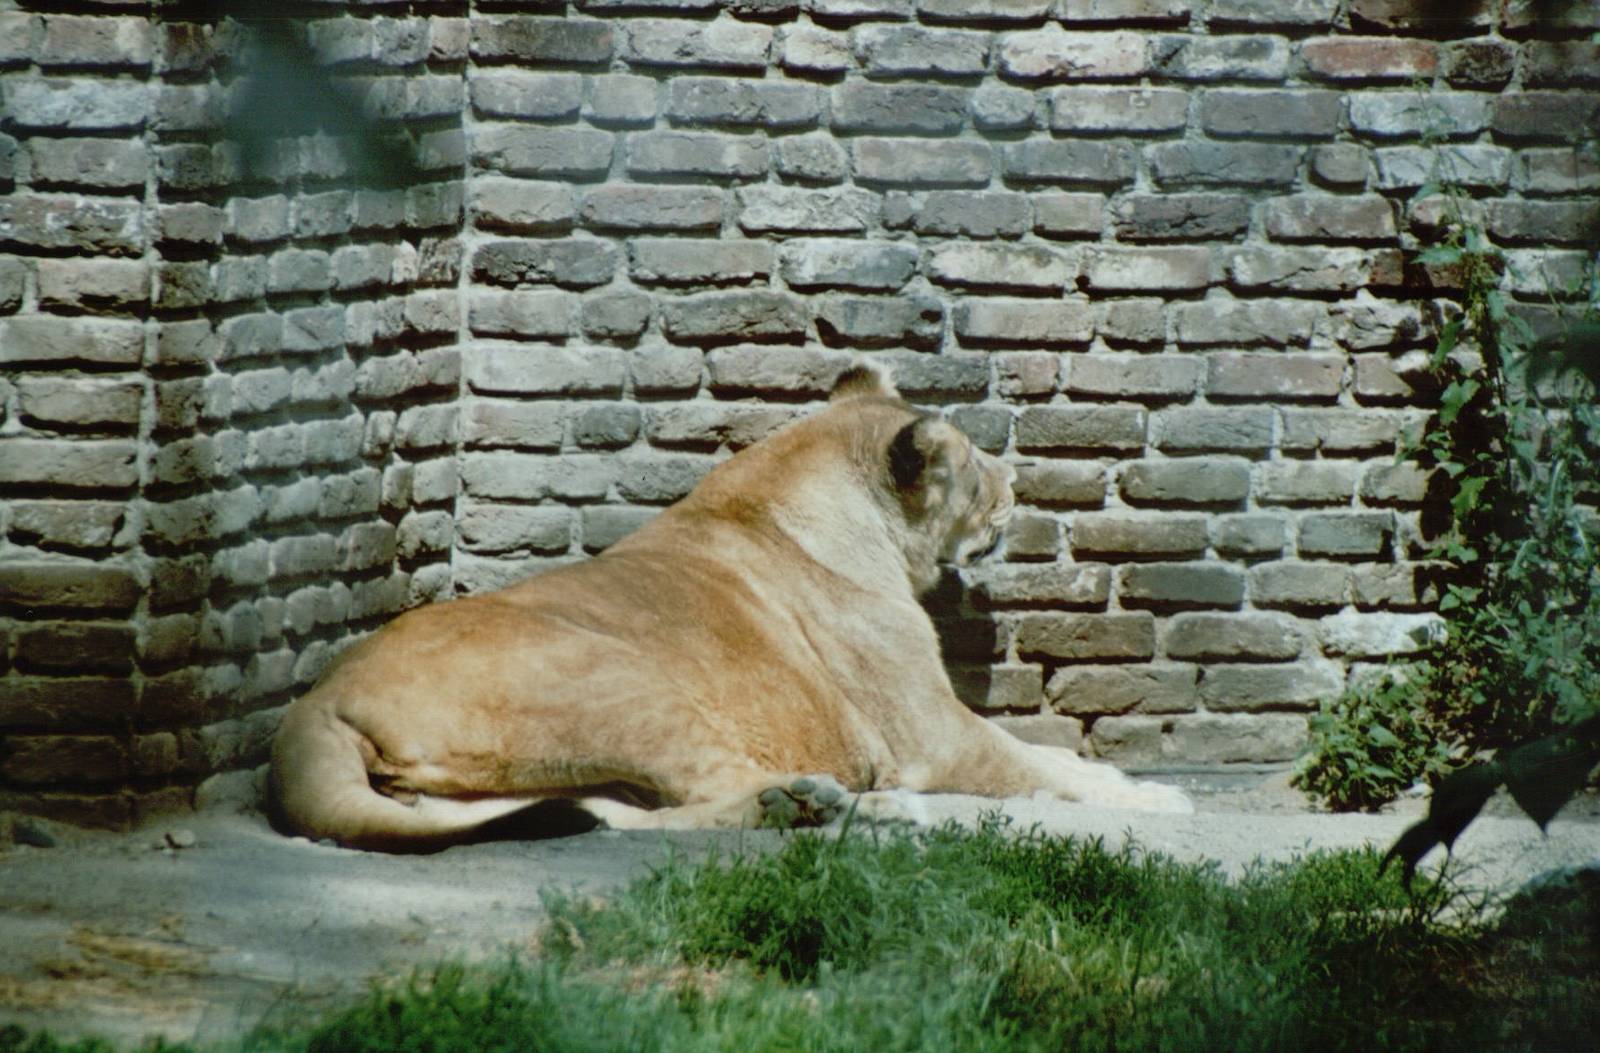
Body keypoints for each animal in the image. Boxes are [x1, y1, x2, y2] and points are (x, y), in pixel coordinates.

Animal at [268, 364, 1191, 850]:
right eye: (971, 464)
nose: (1016, 485)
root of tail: (313, 702)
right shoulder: (928, 734)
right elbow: (1040, 764)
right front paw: (1152, 798)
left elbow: (1052, 753)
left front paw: (1118, 776)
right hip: (621, 683)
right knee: (713, 790)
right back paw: (839, 806)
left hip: (487, 785)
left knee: (626, 817)